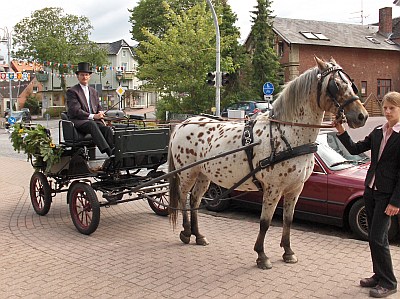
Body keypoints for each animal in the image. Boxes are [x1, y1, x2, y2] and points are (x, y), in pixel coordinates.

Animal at [167, 56, 368, 270]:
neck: (288, 134)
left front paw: (288, 251)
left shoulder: (295, 188)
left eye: (351, 83)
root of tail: (182, 124)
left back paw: (198, 235)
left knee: (195, 200)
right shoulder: (273, 188)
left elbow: (288, 220)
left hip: (204, 175)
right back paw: (186, 232)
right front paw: (262, 255)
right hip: (187, 173)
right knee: (183, 197)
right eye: (335, 85)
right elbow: (265, 221)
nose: (362, 116)